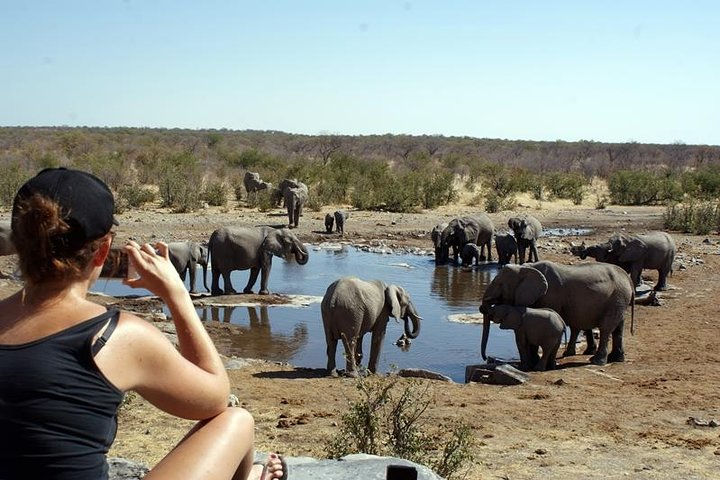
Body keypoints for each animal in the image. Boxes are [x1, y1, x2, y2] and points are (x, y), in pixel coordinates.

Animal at [480, 260, 632, 366]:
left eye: (500, 285)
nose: (487, 358)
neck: (527, 267)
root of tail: (627, 277)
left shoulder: (551, 295)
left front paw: (534, 362)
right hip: (619, 298)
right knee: (618, 327)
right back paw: (616, 359)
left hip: (617, 296)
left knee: (606, 327)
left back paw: (596, 361)